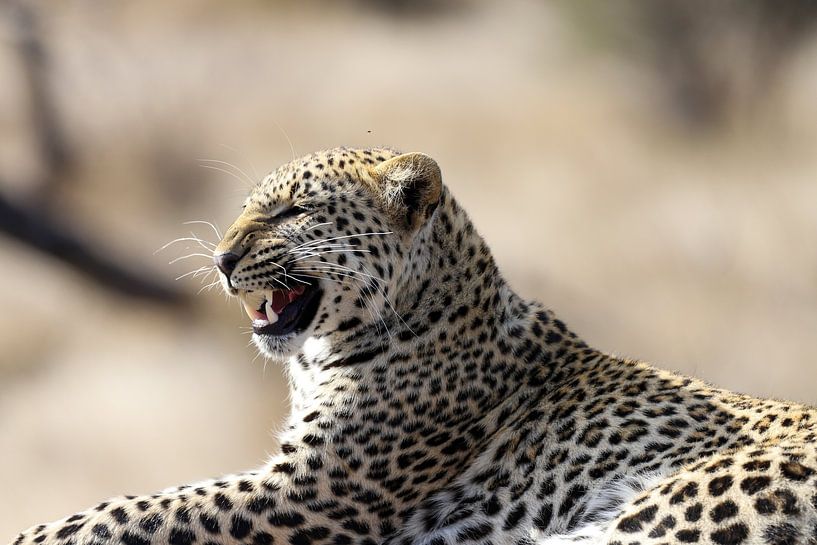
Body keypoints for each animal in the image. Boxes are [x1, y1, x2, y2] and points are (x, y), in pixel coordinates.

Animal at [10, 147, 817, 545]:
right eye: (245, 208)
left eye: (293, 212)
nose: (221, 259)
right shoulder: (287, 476)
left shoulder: (307, 492)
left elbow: (122, 511)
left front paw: (34, 534)